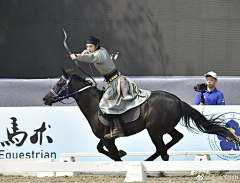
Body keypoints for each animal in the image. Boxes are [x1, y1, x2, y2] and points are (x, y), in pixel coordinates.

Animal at [43, 69, 238, 162]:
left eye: (59, 83)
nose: (45, 99)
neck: (94, 106)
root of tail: (178, 100)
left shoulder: (108, 139)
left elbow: (114, 157)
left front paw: (120, 156)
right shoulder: (105, 137)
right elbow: (101, 149)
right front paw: (122, 152)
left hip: (155, 130)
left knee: (163, 150)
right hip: (163, 128)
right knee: (173, 140)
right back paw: (150, 159)